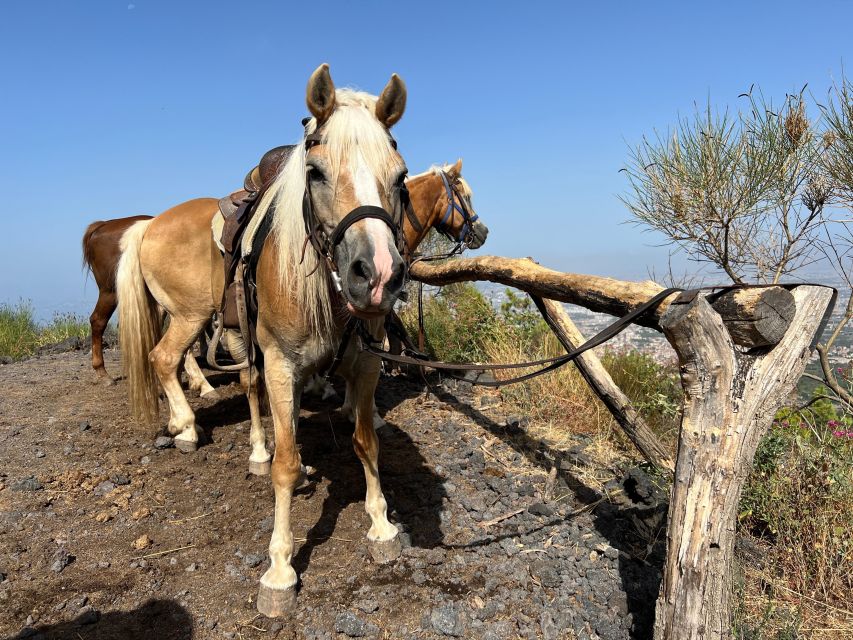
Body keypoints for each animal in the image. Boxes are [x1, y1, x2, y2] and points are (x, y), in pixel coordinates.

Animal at [117, 63, 416, 616]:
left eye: (401, 176)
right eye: (315, 172)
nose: (379, 275)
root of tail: (147, 226)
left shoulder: (364, 366)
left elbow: (365, 441)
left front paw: (381, 525)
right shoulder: (280, 363)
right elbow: (284, 464)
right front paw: (279, 569)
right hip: (194, 318)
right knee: (170, 361)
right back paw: (189, 427)